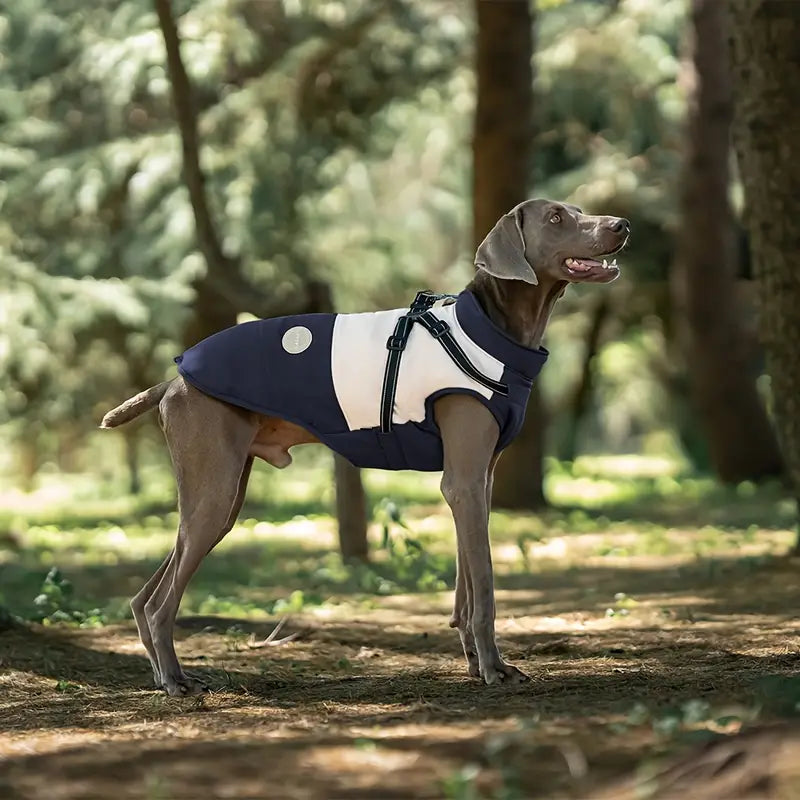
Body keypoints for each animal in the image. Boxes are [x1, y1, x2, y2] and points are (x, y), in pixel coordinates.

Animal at [100, 198, 628, 692]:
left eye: (579, 210)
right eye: (557, 218)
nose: (622, 225)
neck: (492, 331)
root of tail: (173, 380)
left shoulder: (478, 482)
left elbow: (465, 587)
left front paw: (474, 663)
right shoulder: (463, 483)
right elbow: (486, 589)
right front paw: (495, 668)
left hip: (220, 500)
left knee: (144, 597)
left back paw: (160, 671)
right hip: (213, 493)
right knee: (161, 602)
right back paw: (175, 680)